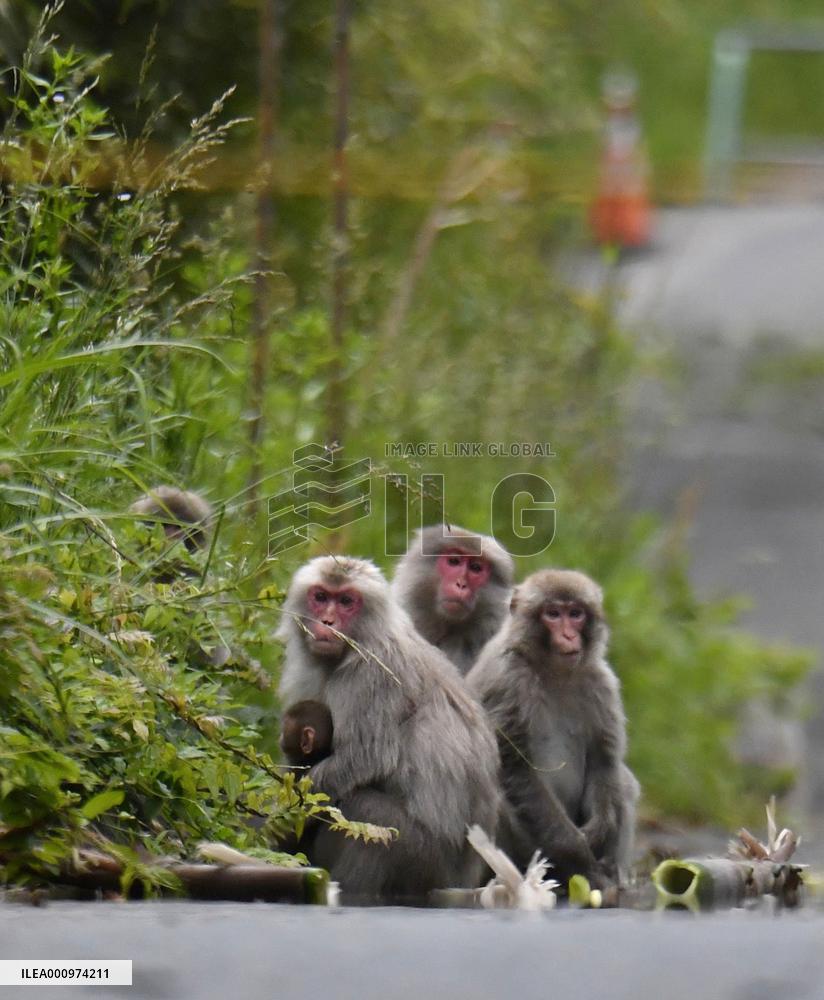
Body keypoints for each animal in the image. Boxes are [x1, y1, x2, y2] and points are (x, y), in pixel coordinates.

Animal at [277, 556, 501, 902]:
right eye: (321, 597)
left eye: (347, 601)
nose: (327, 621)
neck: (361, 640)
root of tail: (461, 882)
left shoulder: (371, 674)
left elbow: (367, 758)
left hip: (422, 861)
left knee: (366, 809)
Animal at [467, 569, 639, 889]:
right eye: (553, 614)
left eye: (576, 614)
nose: (569, 635)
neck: (553, 671)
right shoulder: (507, 681)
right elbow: (516, 767)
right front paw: (577, 849)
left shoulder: (602, 684)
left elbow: (603, 761)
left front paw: (598, 832)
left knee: (622, 780)